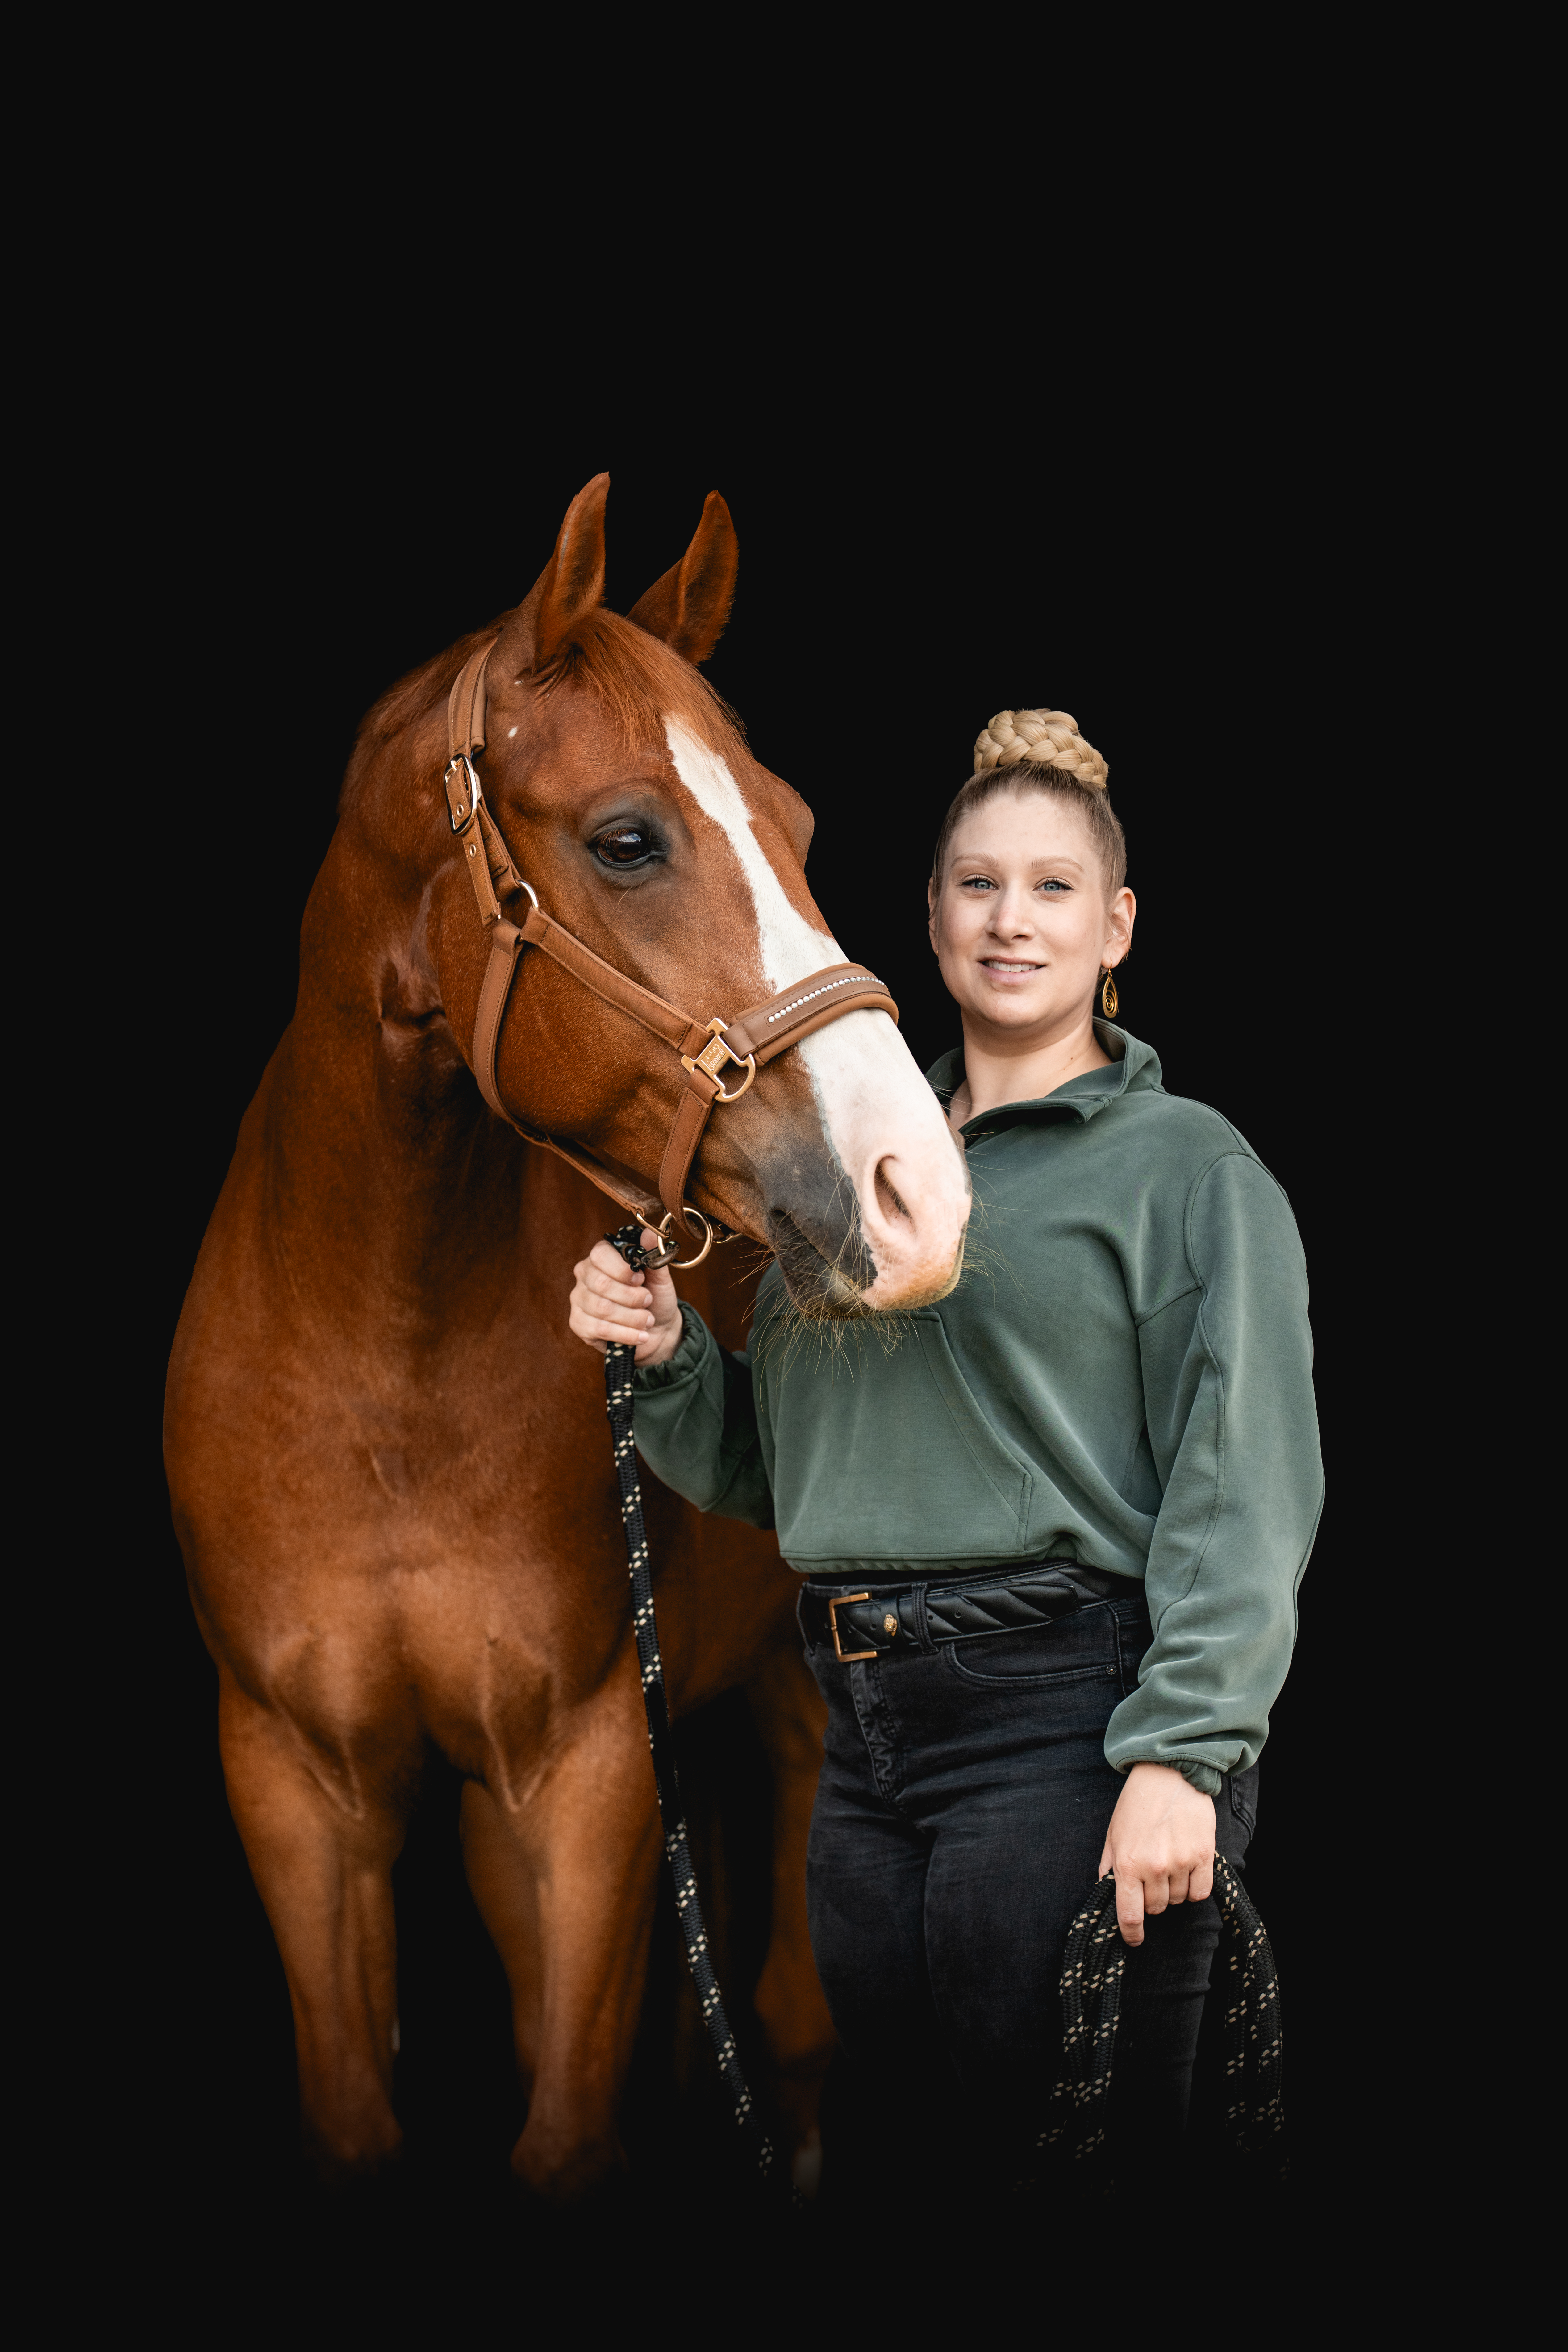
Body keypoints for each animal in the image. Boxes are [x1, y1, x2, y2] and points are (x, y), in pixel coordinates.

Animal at [163, 475, 971, 2197]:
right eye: (625, 839)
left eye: (797, 827)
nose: (916, 1189)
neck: (382, 1364)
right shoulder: (298, 1787)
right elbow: (358, 2106)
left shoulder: (585, 1780)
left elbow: (567, 2121)